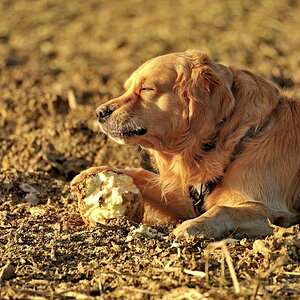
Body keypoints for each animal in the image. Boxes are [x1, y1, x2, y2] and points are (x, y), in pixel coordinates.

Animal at [74, 50, 298, 238]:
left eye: (146, 89)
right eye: (127, 89)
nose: (99, 112)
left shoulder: (270, 210)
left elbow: (222, 209)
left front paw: (192, 227)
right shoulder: (188, 199)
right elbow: (141, 173)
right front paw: (93, 172)